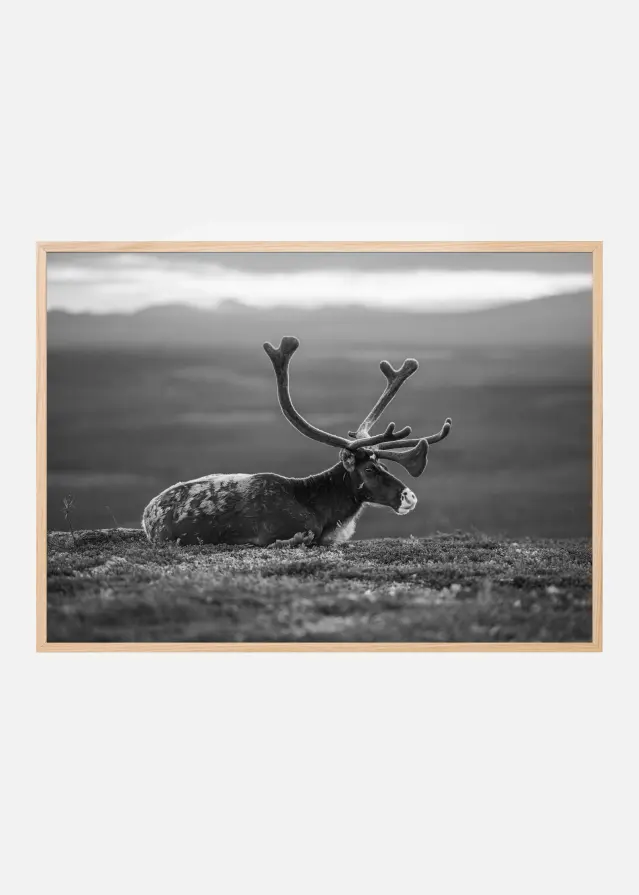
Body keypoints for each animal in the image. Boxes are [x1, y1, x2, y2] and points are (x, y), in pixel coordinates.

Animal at [142, 337, 451, 548]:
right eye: (369, 470)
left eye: (384, 466)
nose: (410, 497)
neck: (320, 506)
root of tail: (147, 512)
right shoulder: (285, 533)